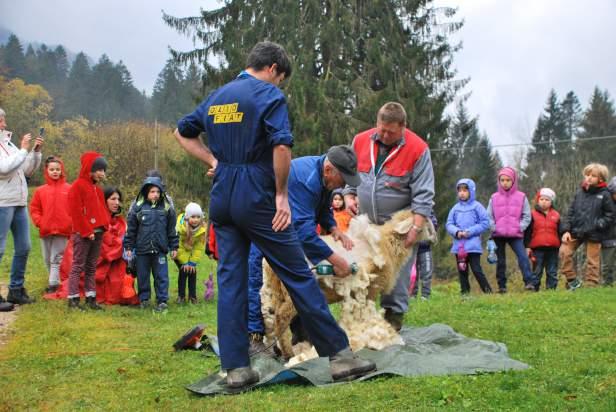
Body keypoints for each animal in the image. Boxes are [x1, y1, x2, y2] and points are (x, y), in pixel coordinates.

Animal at [260, 211, 438, 362]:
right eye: (427, 223)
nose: (435, 239)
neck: (388, 244)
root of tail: (268, 264)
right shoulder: (371, 289)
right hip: (292, 293)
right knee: (281, 317)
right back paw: (288, 354)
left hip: (277, 292)